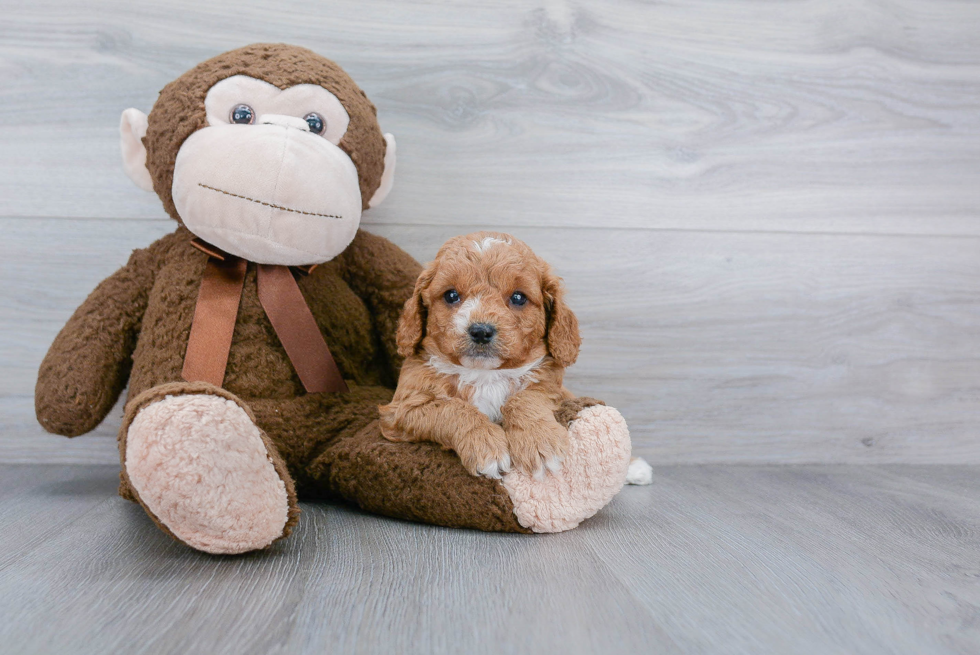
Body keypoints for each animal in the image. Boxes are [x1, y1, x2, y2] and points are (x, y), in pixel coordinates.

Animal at [378, 233, 580, 480]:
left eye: (518, 297)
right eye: (451, 295)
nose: (481, 331)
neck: (484, 374)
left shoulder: (553, 389)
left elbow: (525, 398)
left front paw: (540, 441)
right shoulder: (402, 407)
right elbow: (451, 408)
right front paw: (485, 445)